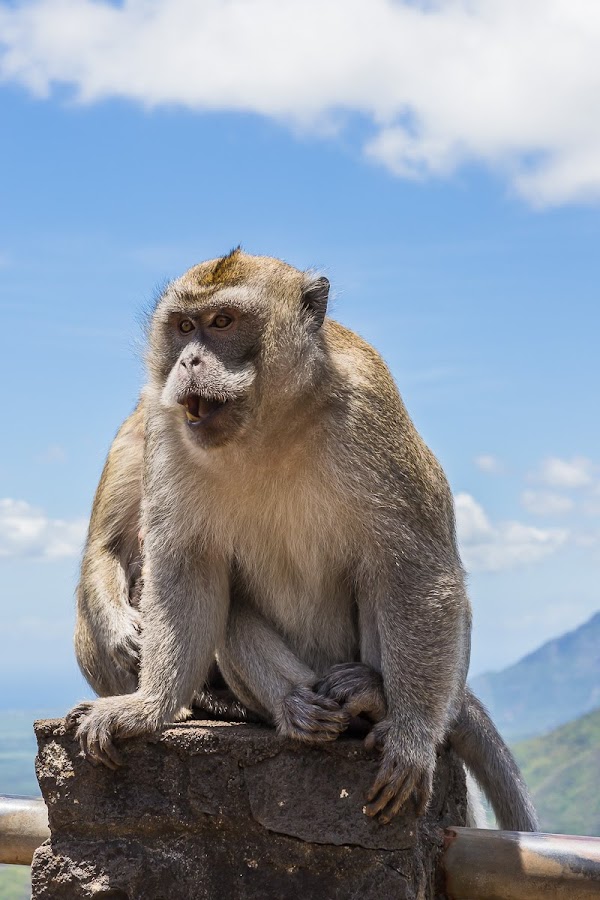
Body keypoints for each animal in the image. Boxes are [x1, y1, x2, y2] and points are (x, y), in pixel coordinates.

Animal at [65, 248, 540, 828]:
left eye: (222, 322)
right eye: (184, 327)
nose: (189, 362)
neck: (268, 426)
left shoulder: (369, 407)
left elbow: (419, 572)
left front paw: (410, 738)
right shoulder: (163, 429)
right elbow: (185, 569)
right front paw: (146, 707)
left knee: (386, 579)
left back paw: (374, 699)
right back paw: (294, 705)